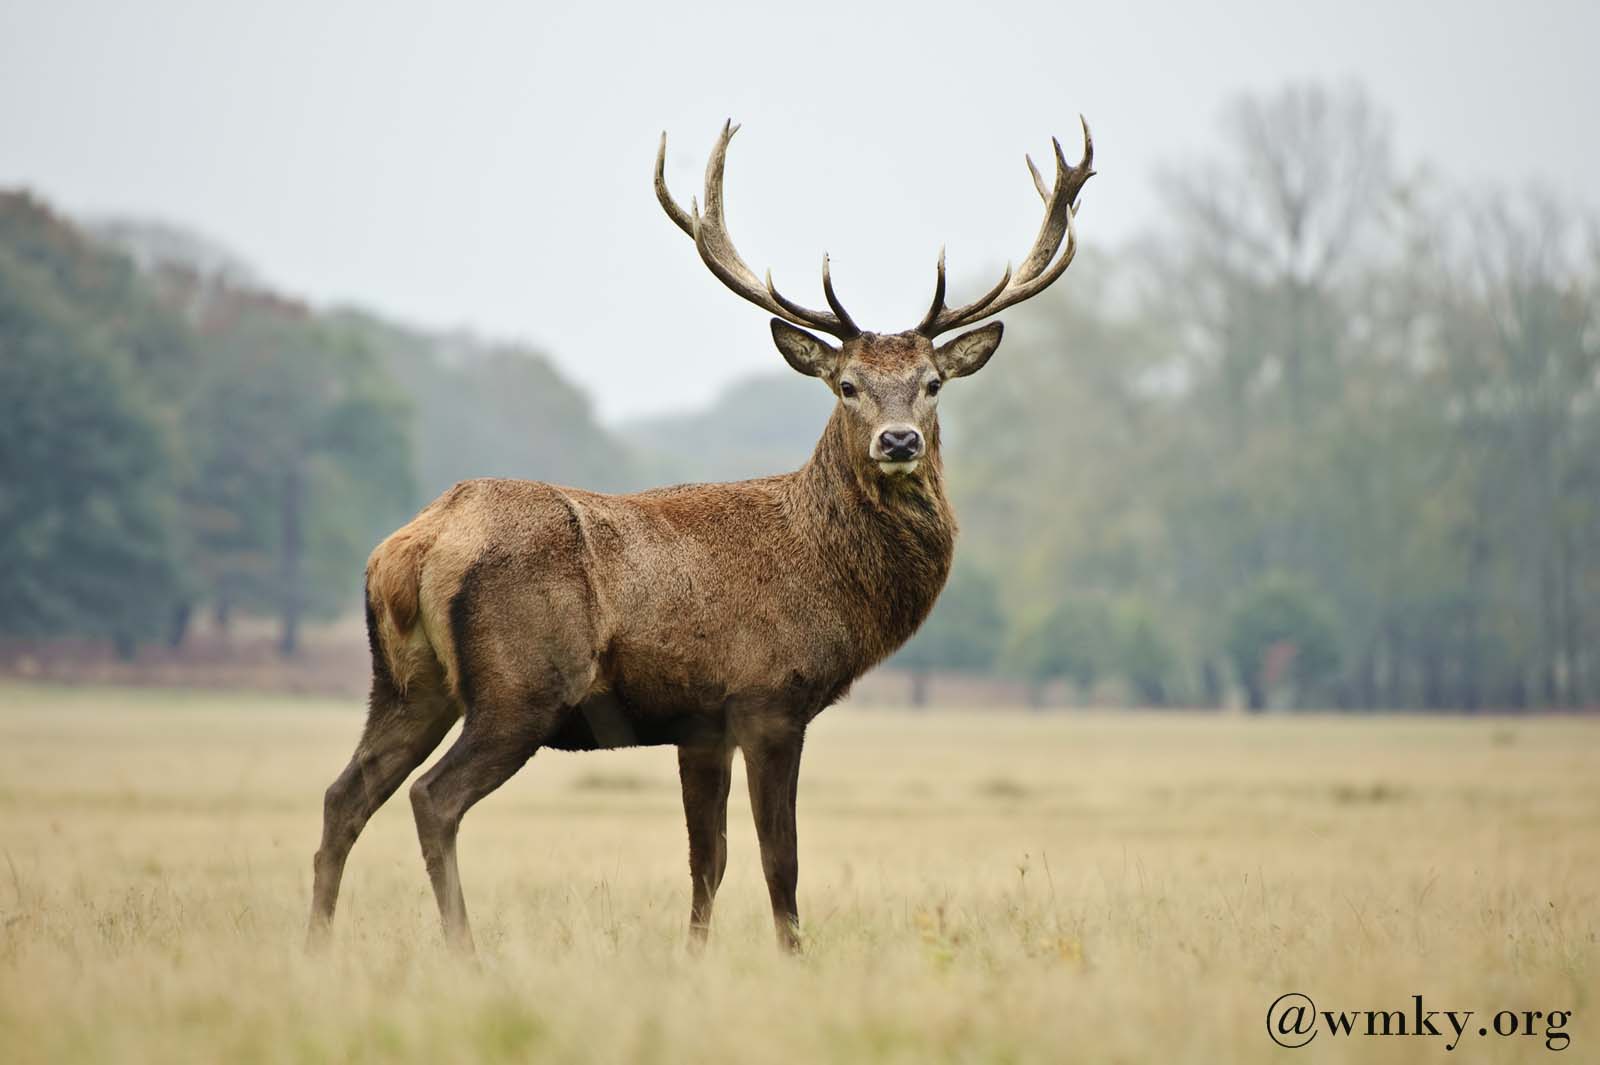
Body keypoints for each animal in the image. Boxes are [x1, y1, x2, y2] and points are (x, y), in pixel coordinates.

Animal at [305, 118, 1094, 953]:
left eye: (932, 383)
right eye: (846, 385)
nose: (900, 440)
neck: (827, 574)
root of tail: (414, 546)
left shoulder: (700, 723)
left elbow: (706, 860)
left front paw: (694, 956)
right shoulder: (769, 696)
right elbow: (780, 859)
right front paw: (793, 956)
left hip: (406, 683)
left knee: (344, 794)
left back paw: (317, 945)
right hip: (520, 685)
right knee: (433, 797)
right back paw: (465, 951)